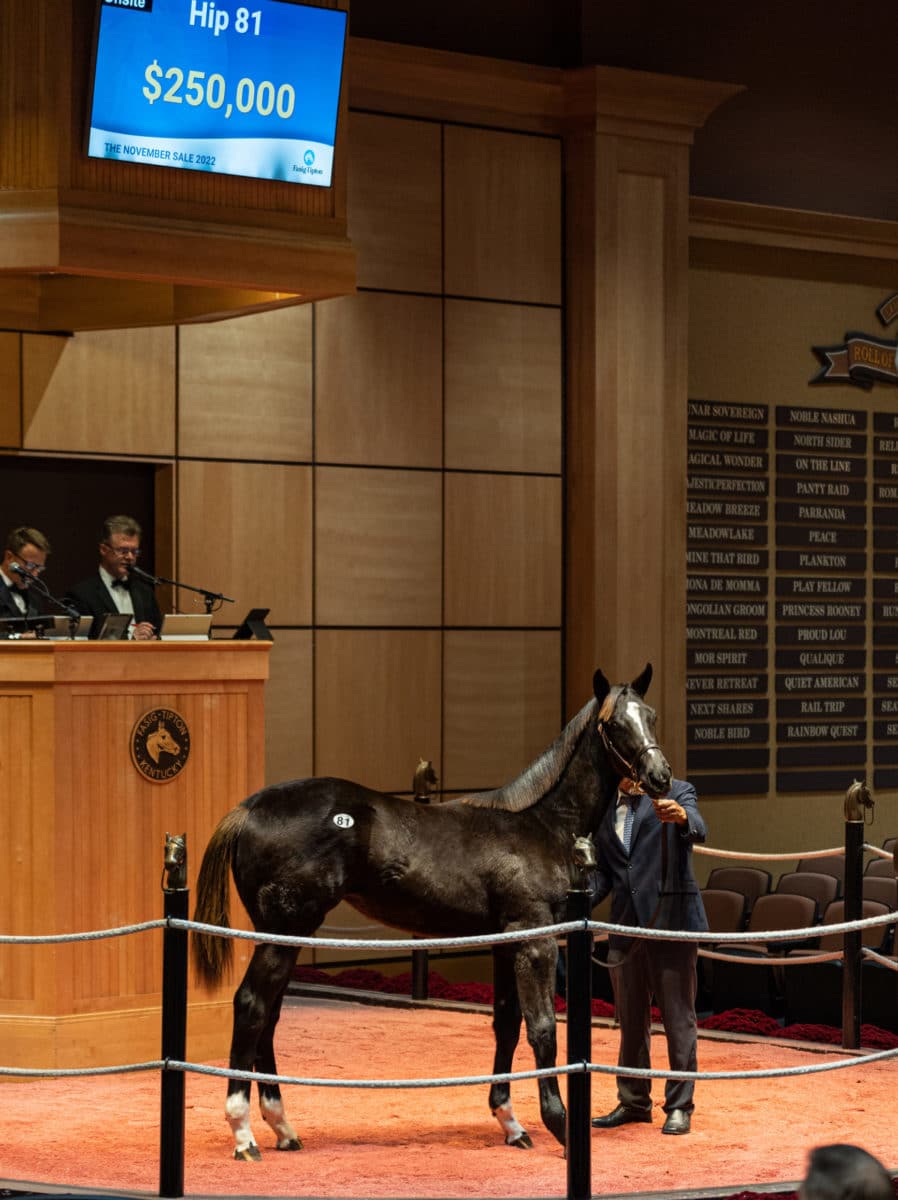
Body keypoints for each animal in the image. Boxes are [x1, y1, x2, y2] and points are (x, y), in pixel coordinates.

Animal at [196, 667, 672, 1161]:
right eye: (614, 724)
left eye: (650, 715)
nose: (659, 777)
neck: (541, 824)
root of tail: (249, 809)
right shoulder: (534, 941)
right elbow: (542, 1029)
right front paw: (560, 1125)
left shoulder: (504, 943)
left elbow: (506, 1023)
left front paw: (511, 1123)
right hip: (286, 931)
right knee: (251, 1006)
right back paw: (244, 1133)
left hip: (289, 935)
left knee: (269, 1015)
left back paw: (282, 1127)